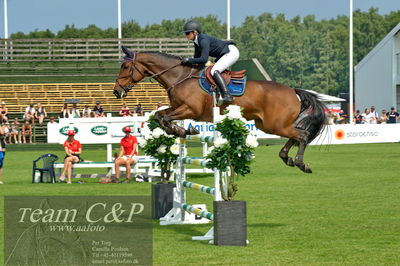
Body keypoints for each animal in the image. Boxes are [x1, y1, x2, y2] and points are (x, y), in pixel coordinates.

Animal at [114, 46, 326, 174]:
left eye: (125, 66)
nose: (116, 92)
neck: (179, 77)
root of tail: (292, 91)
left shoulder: (190, 110)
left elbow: (165, 119)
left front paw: (182, 130)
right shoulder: (177, 107)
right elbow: (160, 116)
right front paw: (181, 130)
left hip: (276, 124)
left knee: (302, 135)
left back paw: (300, 163)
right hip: (267, 125)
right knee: (296, 136)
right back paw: (287, 158)